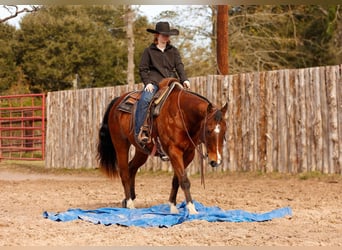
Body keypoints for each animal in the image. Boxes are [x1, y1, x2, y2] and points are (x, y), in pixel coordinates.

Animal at [96, 77, 228, 213]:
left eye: (224, 130)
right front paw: (192, 209)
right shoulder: (174, 151)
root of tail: (117, 101)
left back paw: (129, 200)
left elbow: (177, 180)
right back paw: (130, 204)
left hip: (141, 150)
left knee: (132, 168)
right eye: (208, 130)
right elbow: (184, 180)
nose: (216, 161)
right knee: (124, 172)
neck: (181, 114)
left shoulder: (188, 154)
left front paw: (173, 207)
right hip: (120, 144)